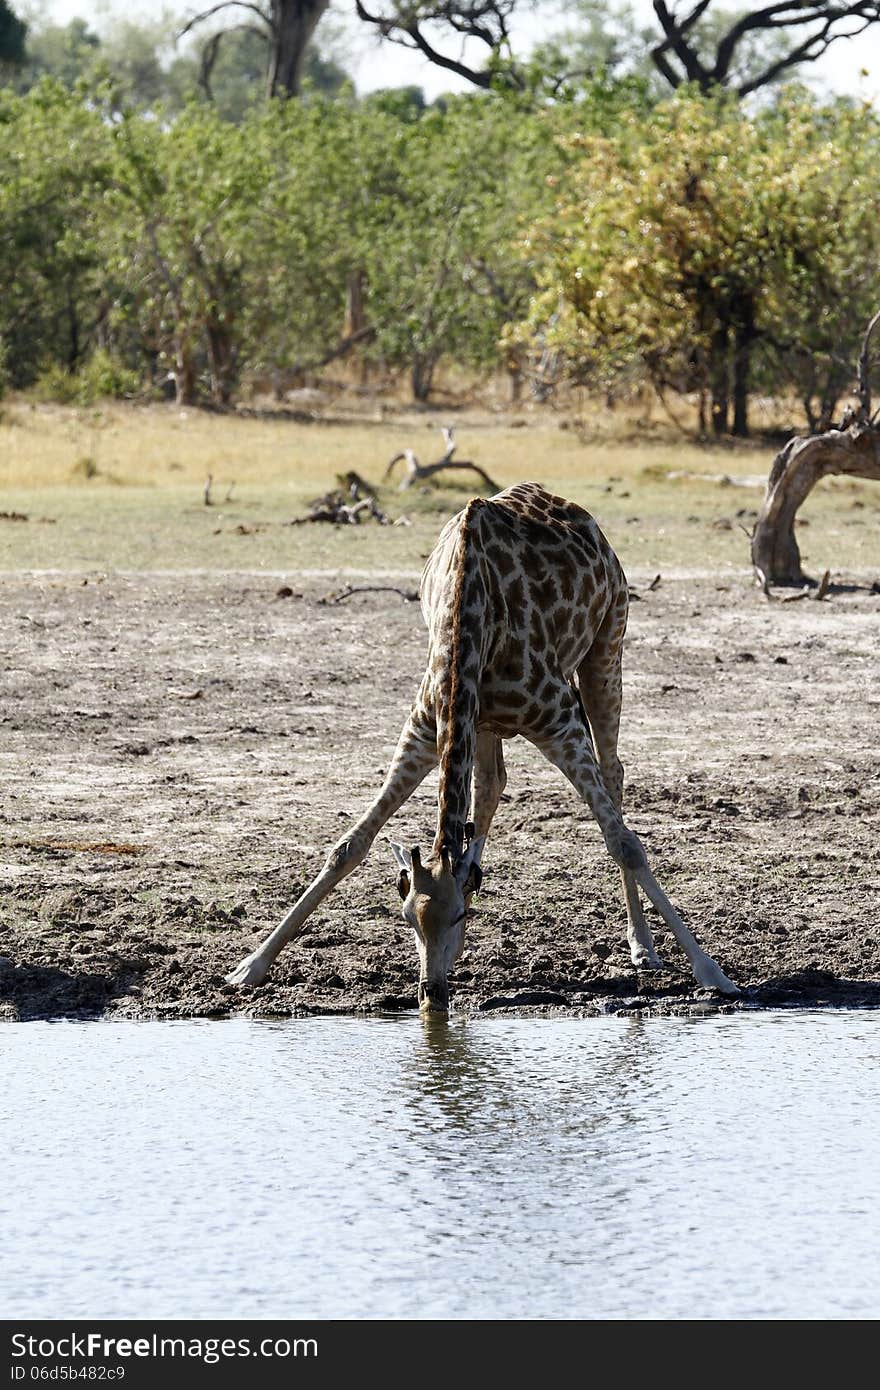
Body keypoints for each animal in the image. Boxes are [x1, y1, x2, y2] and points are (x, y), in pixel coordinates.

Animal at [226, 483, 734, 1017]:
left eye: (456, 916)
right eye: (407, 917)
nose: (432, 994)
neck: (468, 615)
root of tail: (581, 515)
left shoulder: (559, 722)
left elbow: (625, 842)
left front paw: (712, 973)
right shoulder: (427, 727)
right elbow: (349, 845)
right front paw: (249, 967)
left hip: (606, 647)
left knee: (613, 770)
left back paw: (642, 945)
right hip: (485, 722)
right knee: (491, 786)